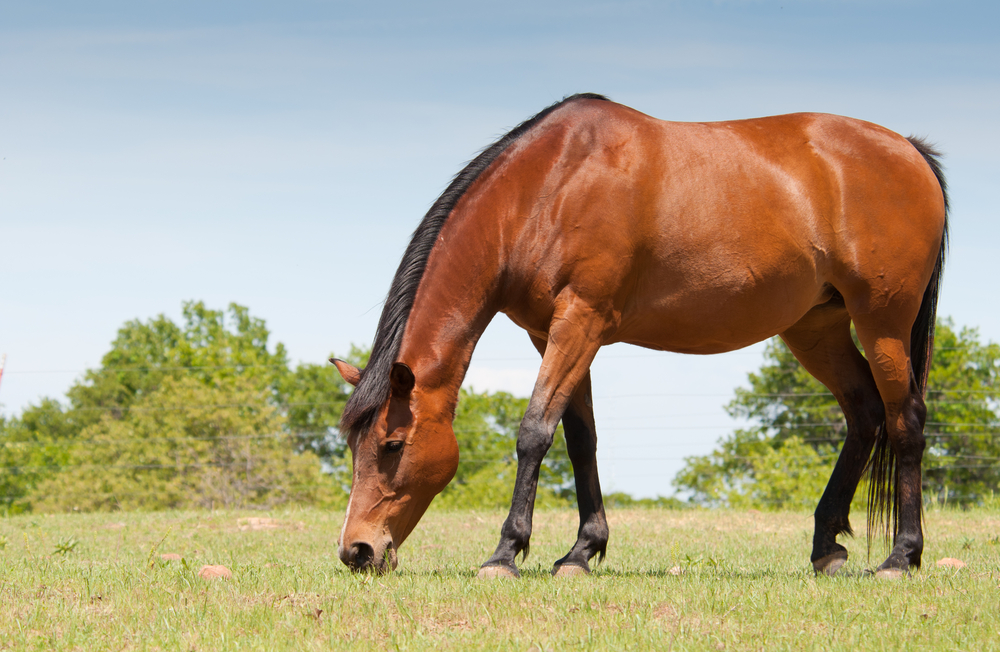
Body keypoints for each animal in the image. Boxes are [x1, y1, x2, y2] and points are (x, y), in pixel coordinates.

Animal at [330, 93, 948, 579]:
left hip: (883, 324)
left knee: (906, 423)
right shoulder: (551, 334)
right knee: (865, 414)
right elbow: (579, 439)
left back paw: (901, 557)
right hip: (817, 328)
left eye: (392, 445)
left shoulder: (580, 322)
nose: (357, 550)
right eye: (353, 446)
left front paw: (505, 553)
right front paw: (581, 552)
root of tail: (910, 149)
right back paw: (826, 548)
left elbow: (534, 432)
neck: (550, 185)